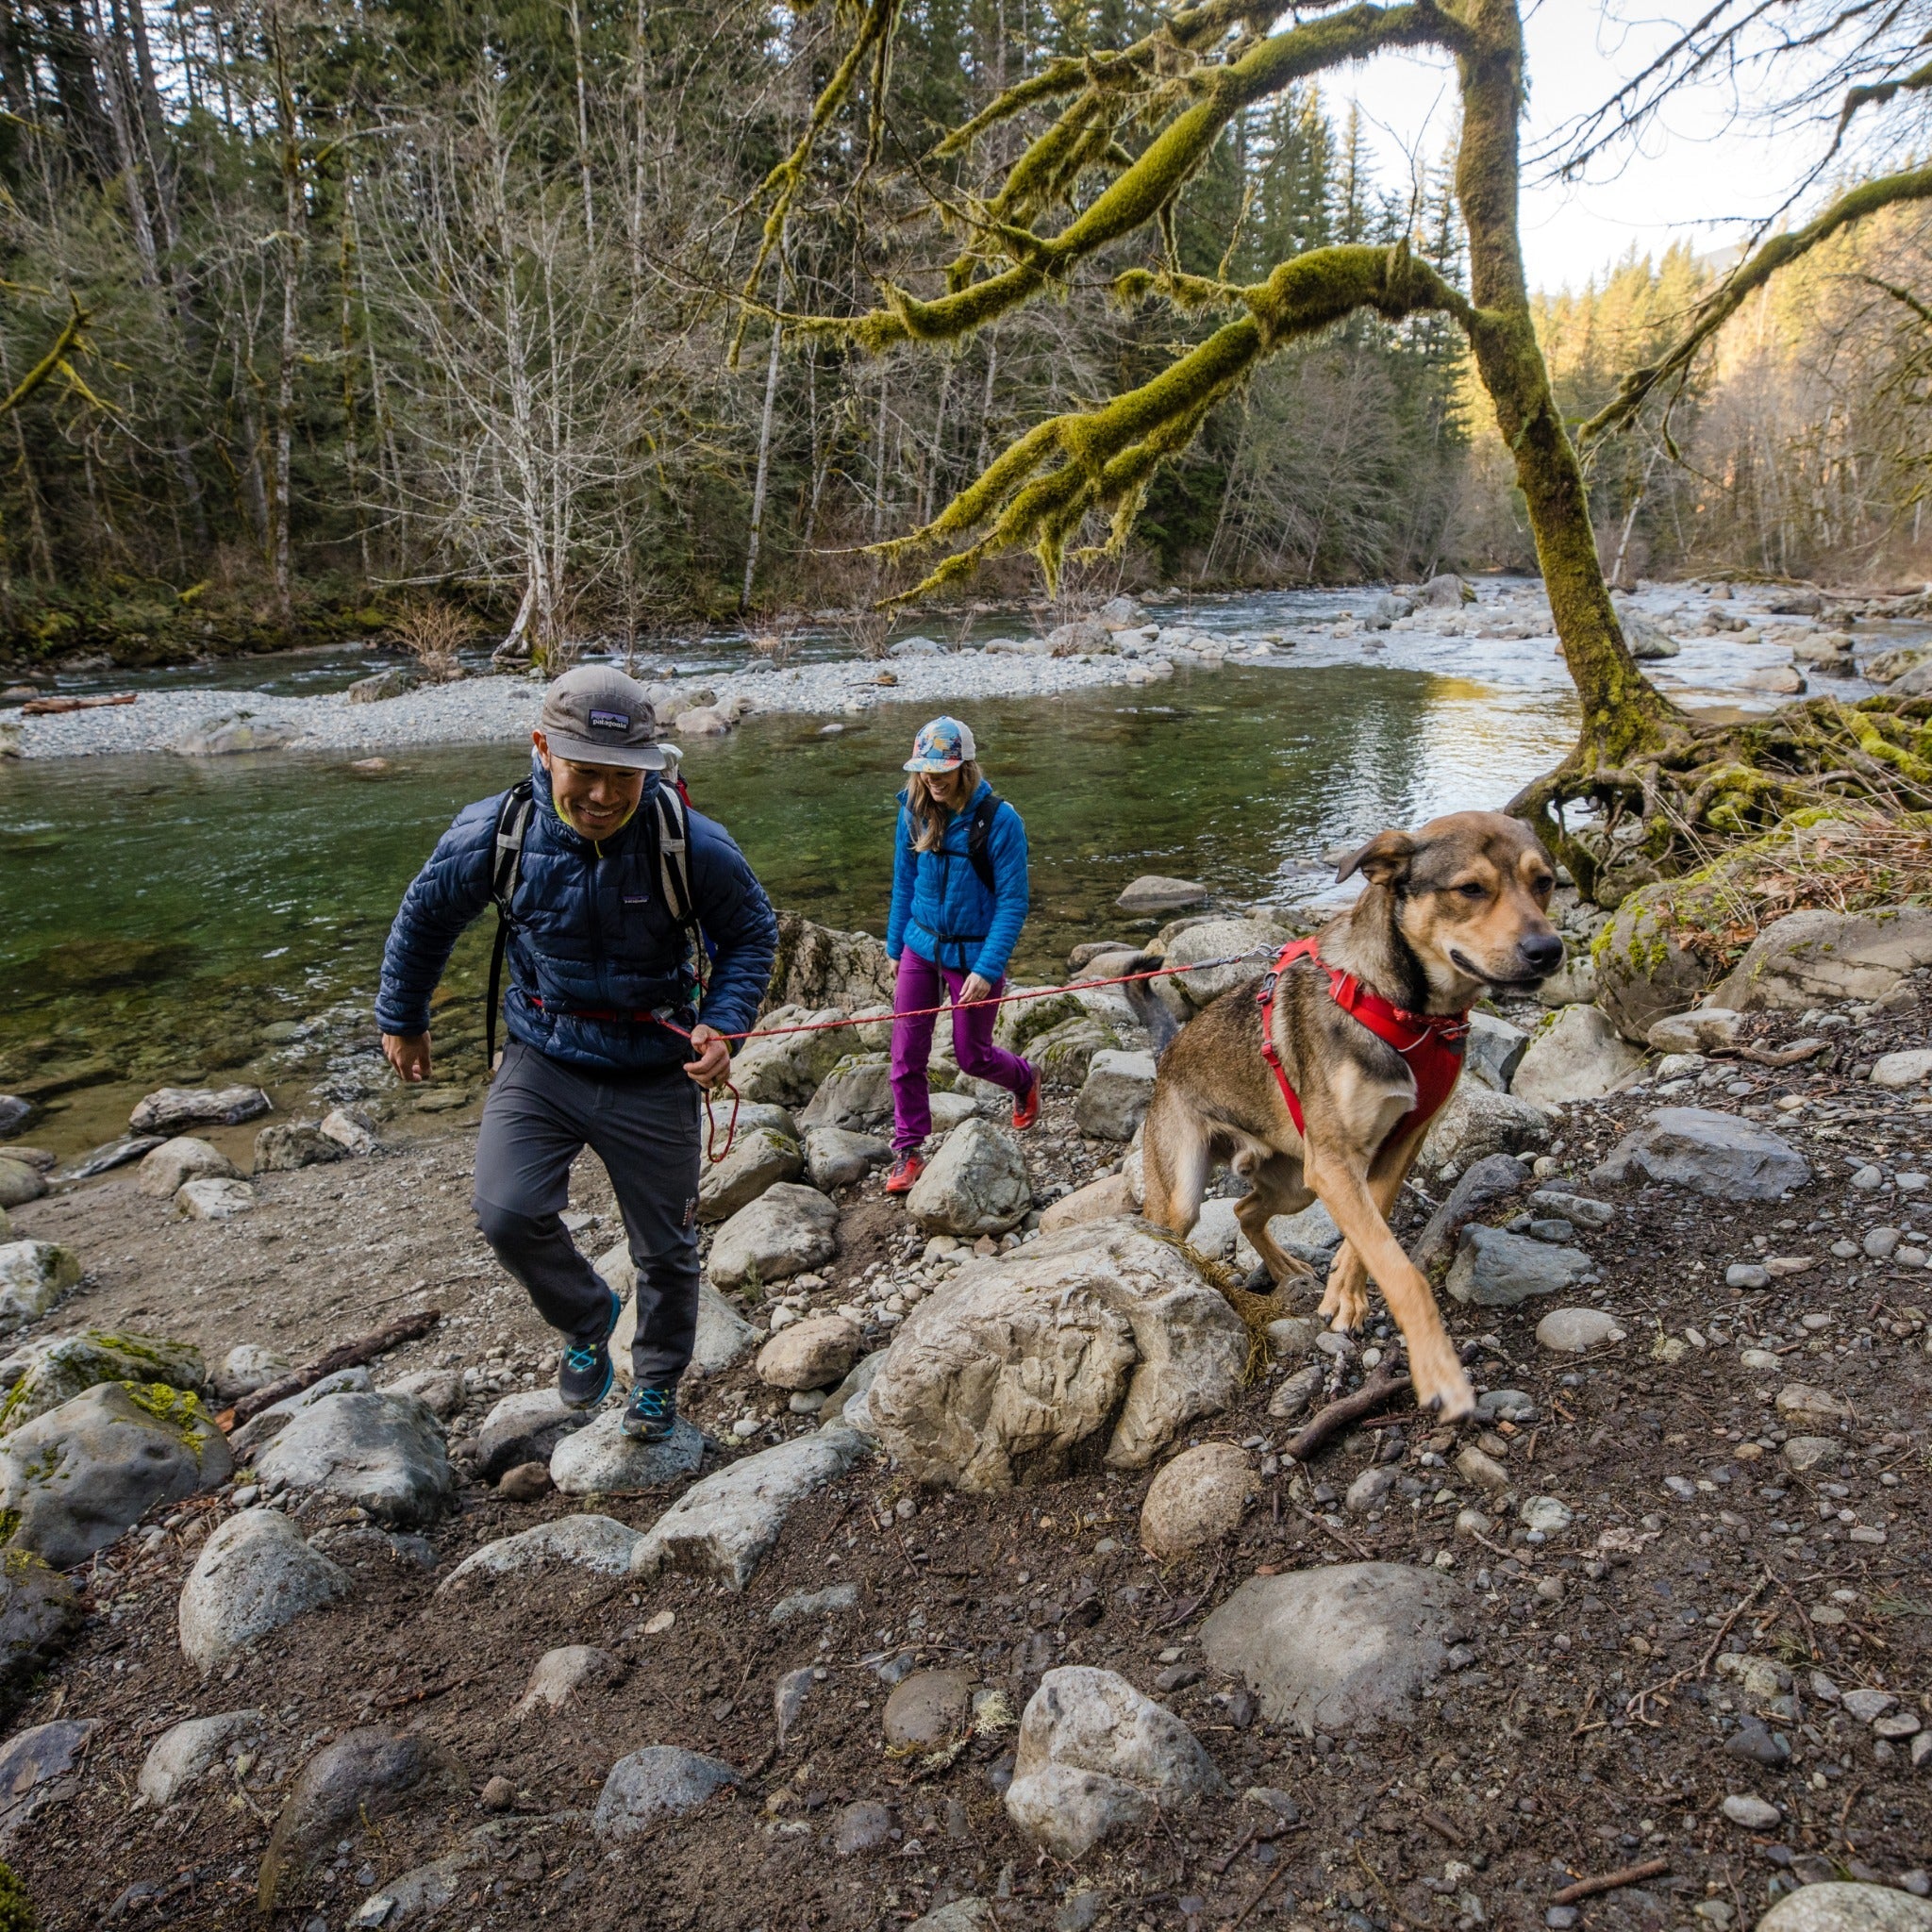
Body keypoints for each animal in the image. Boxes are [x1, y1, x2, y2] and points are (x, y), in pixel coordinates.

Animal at [1128, 808, 1560, 1414]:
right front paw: (1438, 1369)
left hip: (1295, 1183)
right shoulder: (1335, 1164)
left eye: (1543, 882)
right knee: (1182, 1225)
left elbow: (1372, 1234)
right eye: (1470, 889)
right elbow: (1401, 1272)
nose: (1549, 950)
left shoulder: (1395, 1148)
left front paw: (1344, 1293)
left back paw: (1284, 1266)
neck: (1410, 1012)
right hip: (1186, 1194)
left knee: (1245, 1210)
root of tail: (1168, 1050)